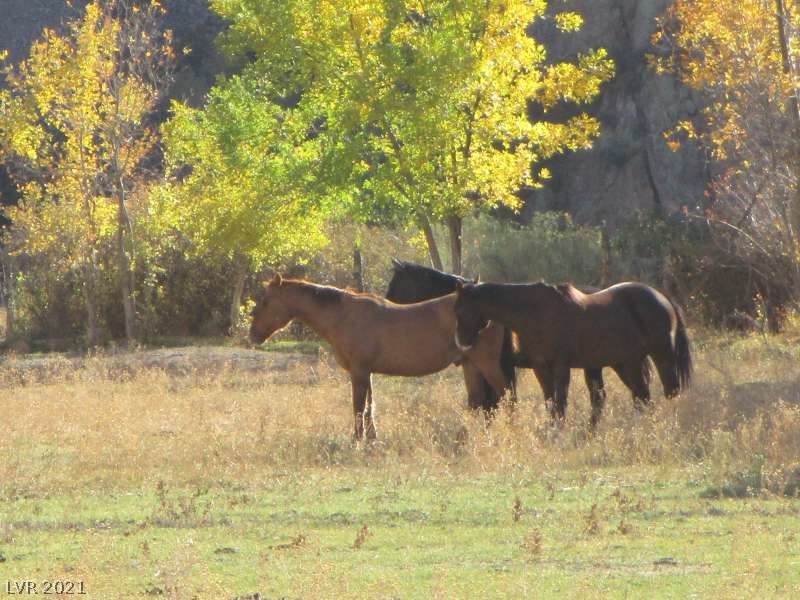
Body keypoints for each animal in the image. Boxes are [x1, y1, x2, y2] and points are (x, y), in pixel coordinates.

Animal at [250, 276, 510, 440]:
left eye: (265, 301)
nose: (253, 335)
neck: (343, 315)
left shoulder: (359, 371)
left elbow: (358, 407)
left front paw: (356, 441)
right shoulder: (368, 372)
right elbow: (369, 406)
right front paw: (372, 438)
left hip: (486, 365)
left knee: (506, 396)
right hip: (471, 366)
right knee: (479, 403)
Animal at [454, 280, 692, 424]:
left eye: (459, 309)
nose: (461, 342)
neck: (534, 312)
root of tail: (662, 297)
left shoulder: (560, 366)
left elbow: (560, 403)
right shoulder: (541, 367)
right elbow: (550, 401)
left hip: (659, 358)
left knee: (665, 392)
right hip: (627, 362)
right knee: (640, 396)